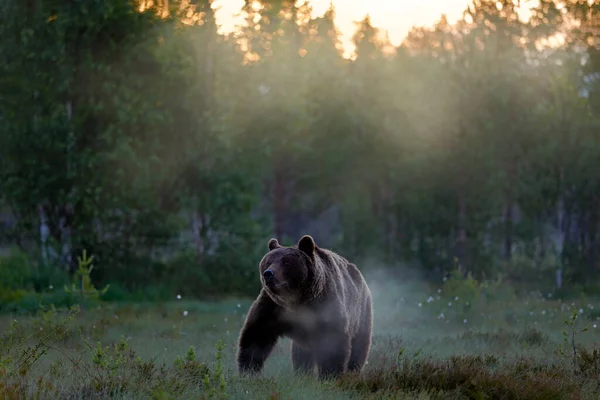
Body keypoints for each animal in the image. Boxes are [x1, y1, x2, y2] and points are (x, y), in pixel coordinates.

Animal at [237, 236, 372, 380]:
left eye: (286, 262)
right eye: (268, 262)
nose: (268, 274)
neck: (297, 302)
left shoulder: (326, 307)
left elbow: (332, 342)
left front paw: (330, 375)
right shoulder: (273, 307)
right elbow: (257, 334)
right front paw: (248, 371)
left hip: (362, 314)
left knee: (359, 348)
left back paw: (353, 372)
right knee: (301, 353)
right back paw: (302, 372)